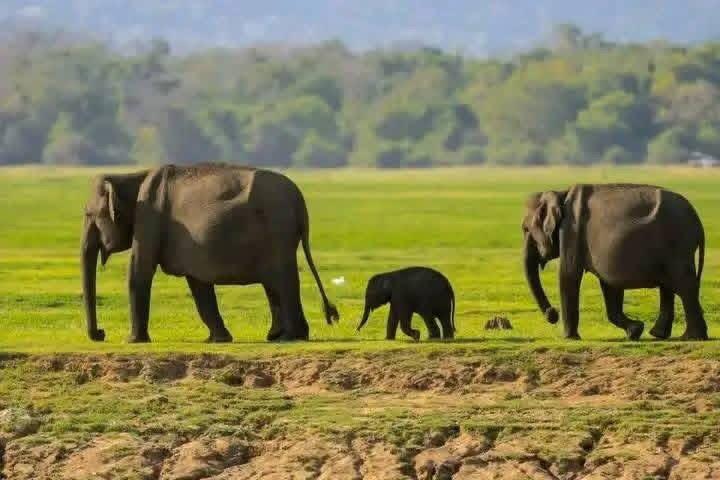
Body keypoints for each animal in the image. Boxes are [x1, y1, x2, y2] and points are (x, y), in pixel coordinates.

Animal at [81, 163, 339, 343]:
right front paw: (217, 339)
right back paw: (280, 336)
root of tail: (299, 202)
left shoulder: (148, 219)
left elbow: (139, 272)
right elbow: (198, 284)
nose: (101, 334)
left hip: (277, 233)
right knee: (273, 283)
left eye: (87, 215)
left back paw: (289, 337)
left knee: (282, 280)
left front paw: (133, 341)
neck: (131, 176)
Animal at [522, 183, 707, 341]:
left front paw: (570, 339)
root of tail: (698, 222)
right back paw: (660, 335)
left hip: (678, 244)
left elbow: (569, 275)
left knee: (684, 285)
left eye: (525, 229)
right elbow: (609, 285)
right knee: (669, 286)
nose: (552, 314)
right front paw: (635, 331)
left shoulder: (571, 231)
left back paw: (691, 337)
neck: (561, 193)